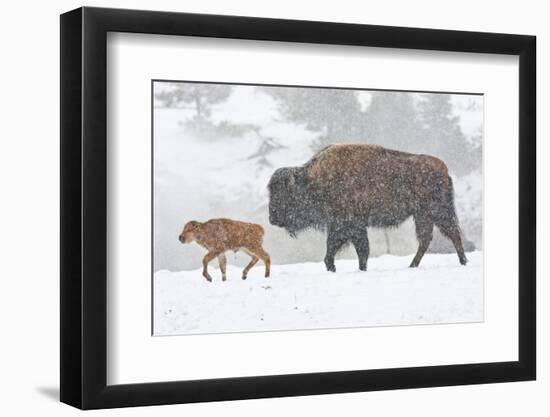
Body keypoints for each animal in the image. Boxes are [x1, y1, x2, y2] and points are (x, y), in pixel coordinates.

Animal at [270, 144, 468, 272]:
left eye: (284, 194)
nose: (272, 219)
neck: (314, 181)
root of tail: (443, 169)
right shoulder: (346, 226)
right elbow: (354, 249)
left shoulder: (348, 225)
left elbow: (354, 249)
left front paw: (341, 268)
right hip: (423, 215)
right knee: (428, 239)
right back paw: (413, 265)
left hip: (437, 211)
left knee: (451, 233)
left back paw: (463, 261)